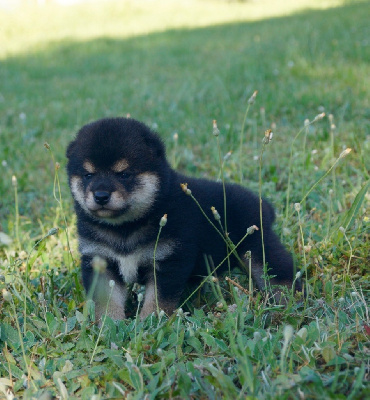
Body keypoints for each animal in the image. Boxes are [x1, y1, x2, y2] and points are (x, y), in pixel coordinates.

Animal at [66, 117, 298, 320]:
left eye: (124, 174)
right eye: (88, 175)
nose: (100, 196)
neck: (125, 227)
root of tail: (263, 205)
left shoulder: (169, 260)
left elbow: (157, 300)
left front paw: (149, 323)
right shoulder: (99, 260)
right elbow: (107, 300)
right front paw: (109, 324)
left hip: (259, 251)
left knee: (281, 276)